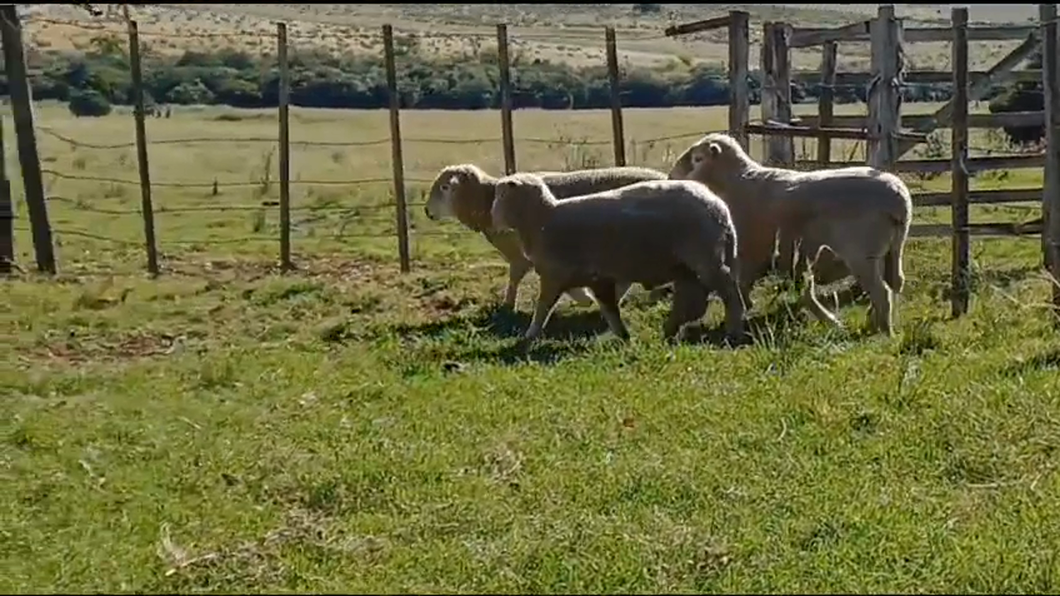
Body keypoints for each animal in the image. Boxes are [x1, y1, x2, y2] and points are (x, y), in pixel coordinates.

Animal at [419, 163, 661, 311]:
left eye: (444, 187)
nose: (427, 212)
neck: (486, 201)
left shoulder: (528, 254)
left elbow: (516, 278)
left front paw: (508, 306)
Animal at [489, 170, 746, 343]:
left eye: (501, 196)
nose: (493, 217)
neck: (543, 219)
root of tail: (719, 207)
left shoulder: (555, 275)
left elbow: (543, 308)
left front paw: (529, 336)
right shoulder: (596, 278)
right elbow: (609, 309)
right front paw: (623, 337)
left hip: (705, 259)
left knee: (729, 293)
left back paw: (733, 328)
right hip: (689, 266)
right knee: (692, 300)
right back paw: (670, 330)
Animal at [669, 130, 911, 335]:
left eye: (697, 159)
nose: (672, 175)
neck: (736, 182)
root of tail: (899, 198)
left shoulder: (750, 253)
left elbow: (741, 287)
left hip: (862, 253)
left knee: (882, 292)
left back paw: (883, 331)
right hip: (891, 250)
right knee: (894, 284)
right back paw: (874, 321)